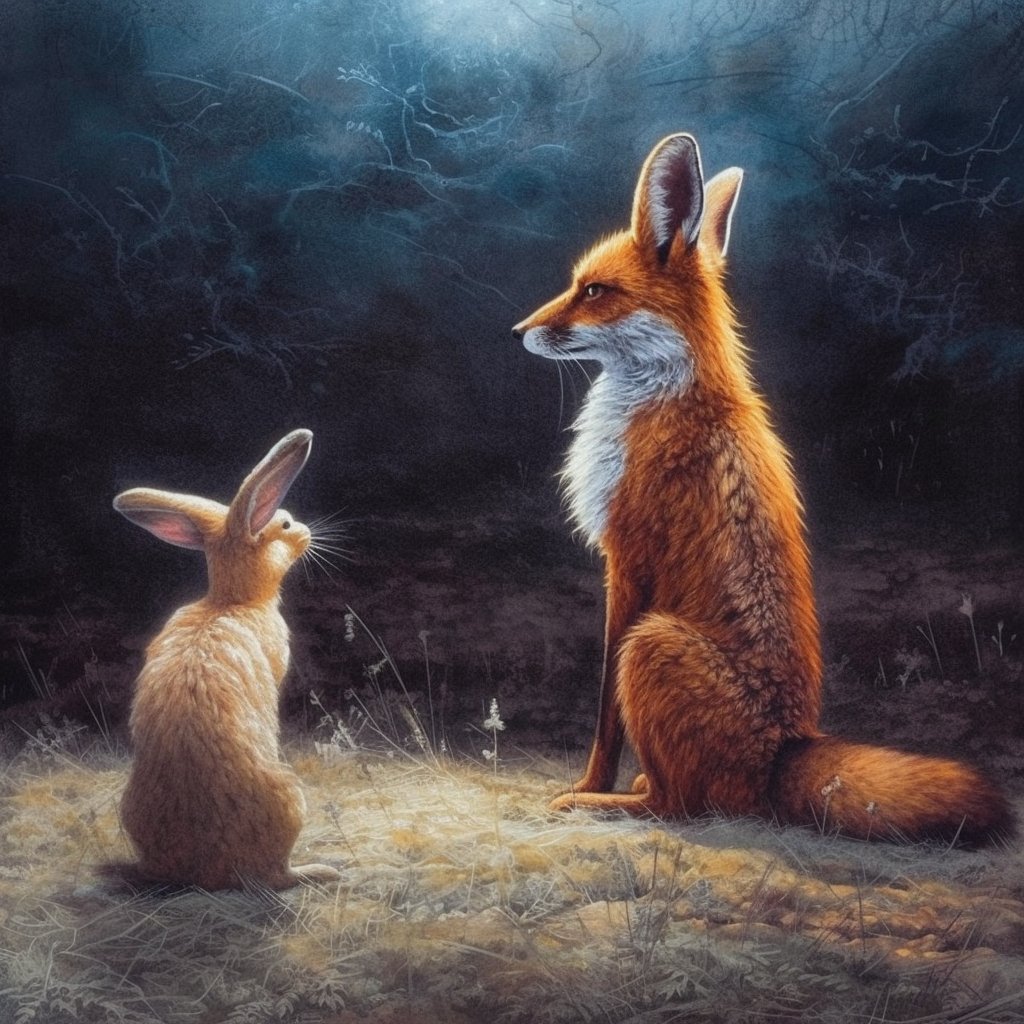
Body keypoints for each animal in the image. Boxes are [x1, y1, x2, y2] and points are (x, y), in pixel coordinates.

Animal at [113, 428, 340, 890]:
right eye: (284, 524)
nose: (306, 530)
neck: (231, 601)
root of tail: (207, 874)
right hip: (290, 796)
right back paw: (319, 870)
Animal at [512, 132, 1014, 846]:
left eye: (594, 291)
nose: (518, 332)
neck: (668, 397)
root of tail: (785, 751)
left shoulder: (627, 560)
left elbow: (605, 711)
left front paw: (588, 782)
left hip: (651, 644)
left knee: (680, 805)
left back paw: (603, 802)